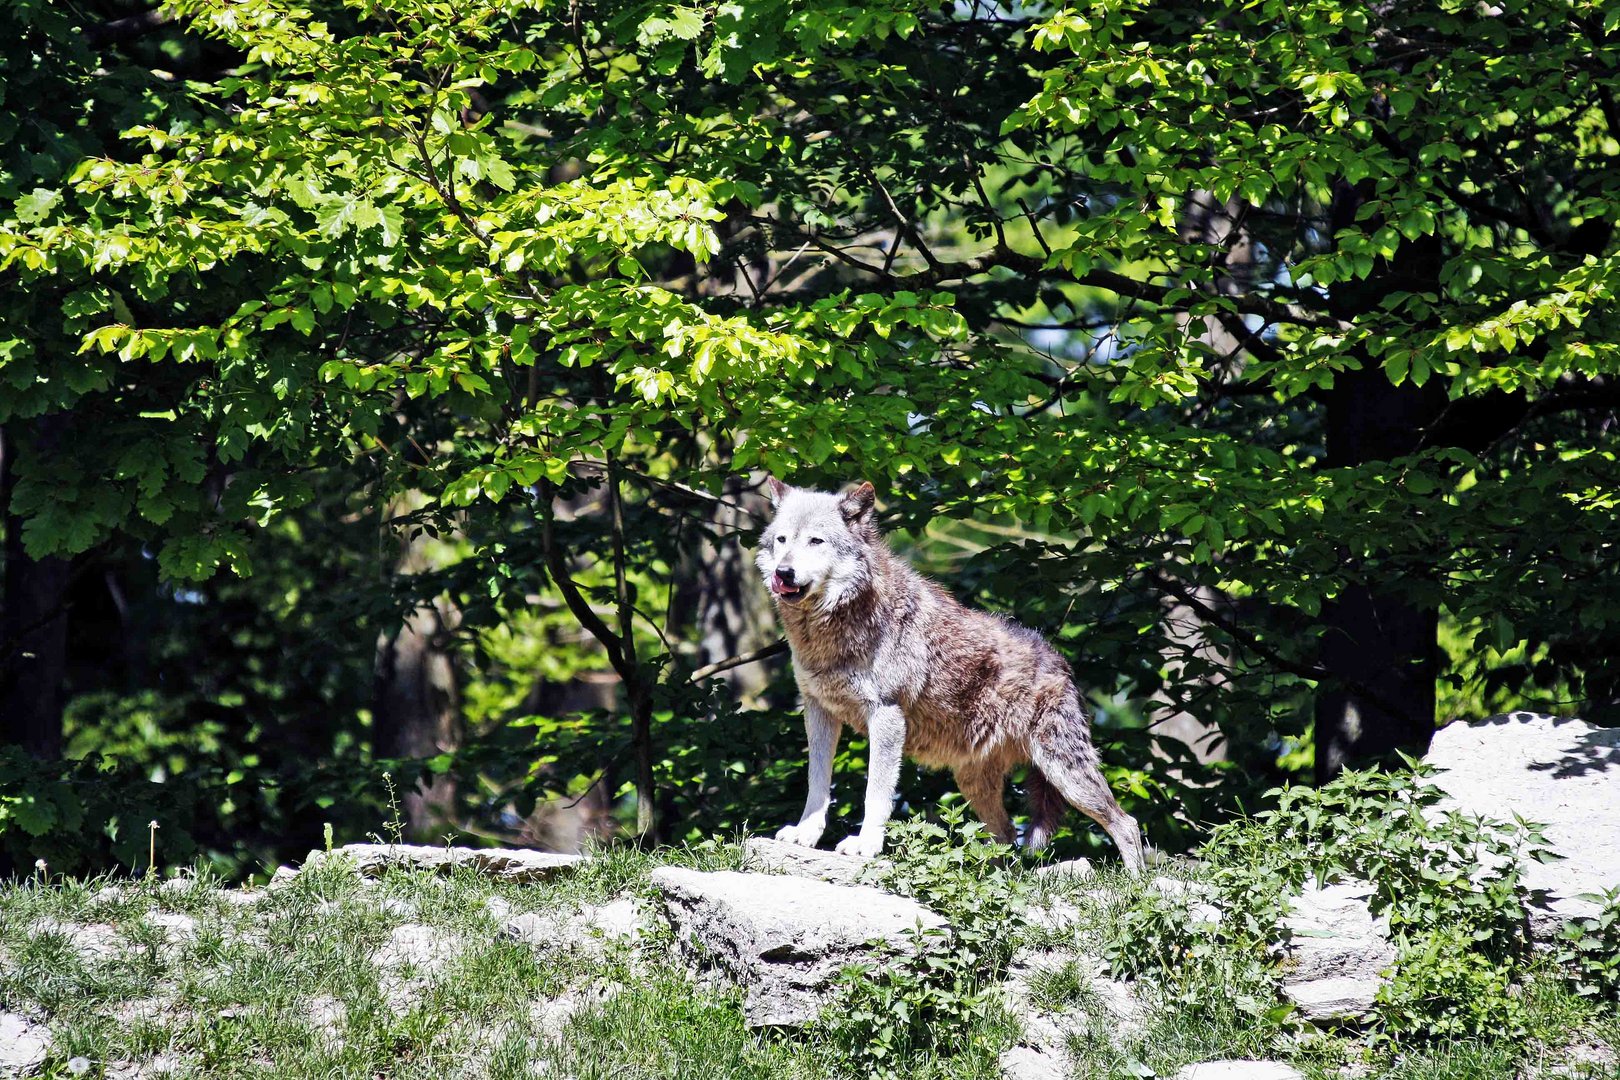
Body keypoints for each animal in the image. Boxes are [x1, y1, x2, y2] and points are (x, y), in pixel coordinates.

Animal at [754, 482, 1146, 867]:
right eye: (782, 540)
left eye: (816, 541)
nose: (783, 573)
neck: (830, 629)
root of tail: (1062, 664)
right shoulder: (818, 711)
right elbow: (817, 784)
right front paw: (805, 834)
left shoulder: (886, 716)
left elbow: (875, 794)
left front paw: (865, 845)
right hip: (975, 784)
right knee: (1007, 838)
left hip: (1065, 774)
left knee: (1125, 822)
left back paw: (1135, 880)